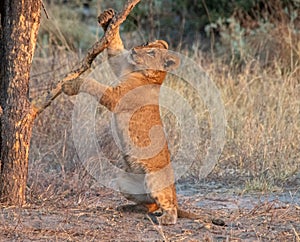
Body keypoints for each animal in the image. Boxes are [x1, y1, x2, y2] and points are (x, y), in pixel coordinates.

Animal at [61, 9, 196, 225]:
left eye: (151, 53)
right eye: (146, 43)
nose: (134, 50)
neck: (139, 72)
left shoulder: (116, 97)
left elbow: (92, 84)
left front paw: (71, 85)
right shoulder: (120, 62)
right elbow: (115, 48)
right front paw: (107, 18)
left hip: (155, 180)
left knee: (168, 205)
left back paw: (166, 218)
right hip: (124, 182)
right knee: (150, 204)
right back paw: (127, 207)